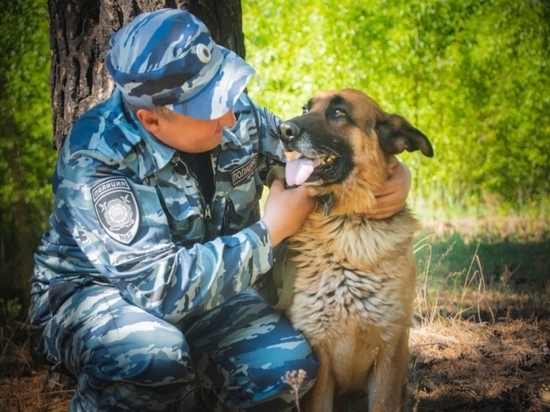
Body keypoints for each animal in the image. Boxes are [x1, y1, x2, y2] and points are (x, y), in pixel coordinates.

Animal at [280, 90, 436, 412]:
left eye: (338, 112)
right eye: (306, 107)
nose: (283, 130)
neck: (346, 222)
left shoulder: (389, 353)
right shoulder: (320, 356)